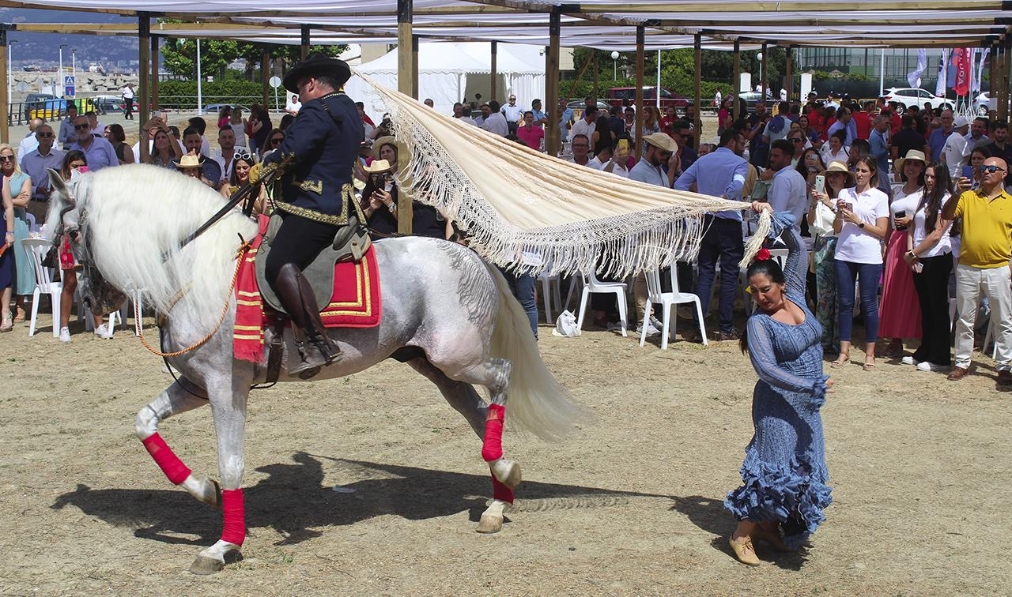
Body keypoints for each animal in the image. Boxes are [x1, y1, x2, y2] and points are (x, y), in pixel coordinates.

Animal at [45, 165, 586, 578]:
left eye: (70, 233)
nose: (92, 302)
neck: (198, 268)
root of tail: (469, 253)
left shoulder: (224, 386)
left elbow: (232, 462)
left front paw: (224, 545)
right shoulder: (195, 384)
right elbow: (145, 423)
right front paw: (202, 490)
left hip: (458, 357)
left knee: (501, 378)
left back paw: (502, 480)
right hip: (435, 366)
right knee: (476, 409)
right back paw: (498, 496)